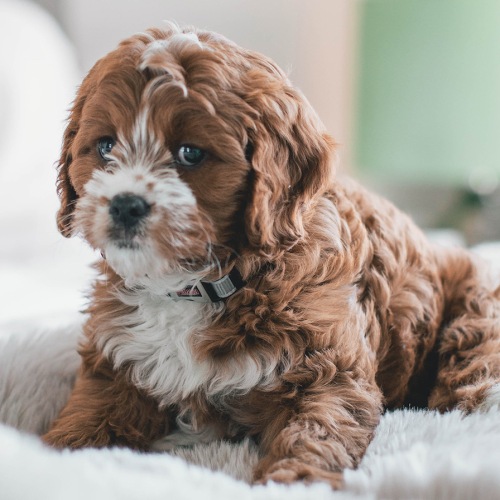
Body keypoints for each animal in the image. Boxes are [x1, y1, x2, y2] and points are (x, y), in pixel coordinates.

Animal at [43, 23, 500, 488]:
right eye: (105, 146)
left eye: (190, 153)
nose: (124, 205)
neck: (198, 285)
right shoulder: (115, 364)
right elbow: (89, 417)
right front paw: (51, 454)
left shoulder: (328, 371)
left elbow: (315, 434)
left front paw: (293, 482)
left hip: (475, 312)